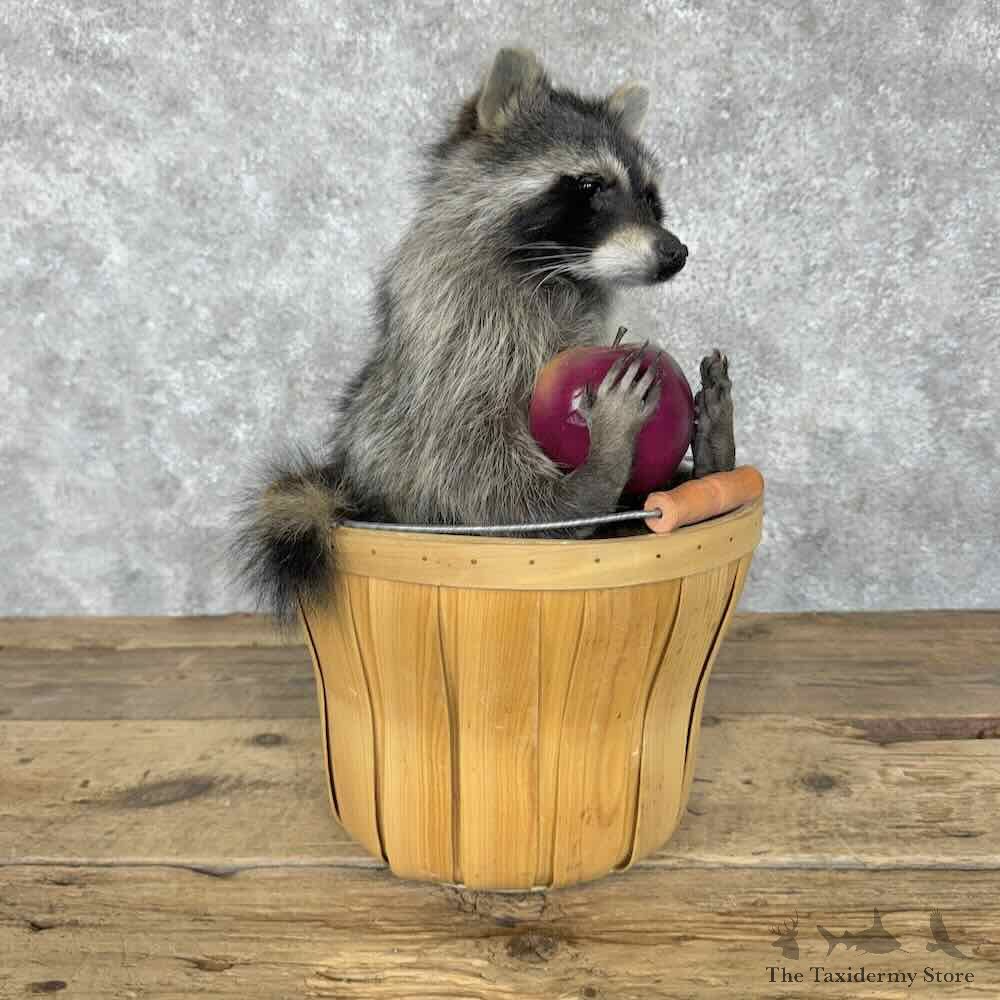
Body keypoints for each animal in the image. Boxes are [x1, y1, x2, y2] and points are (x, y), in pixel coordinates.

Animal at [233, 48, 735, 626]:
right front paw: (591, 475)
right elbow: (479, 475)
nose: (676, 252)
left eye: (651, 197)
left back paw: (714, 453)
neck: (560, 277)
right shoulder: (461, 339)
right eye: (589, 186)